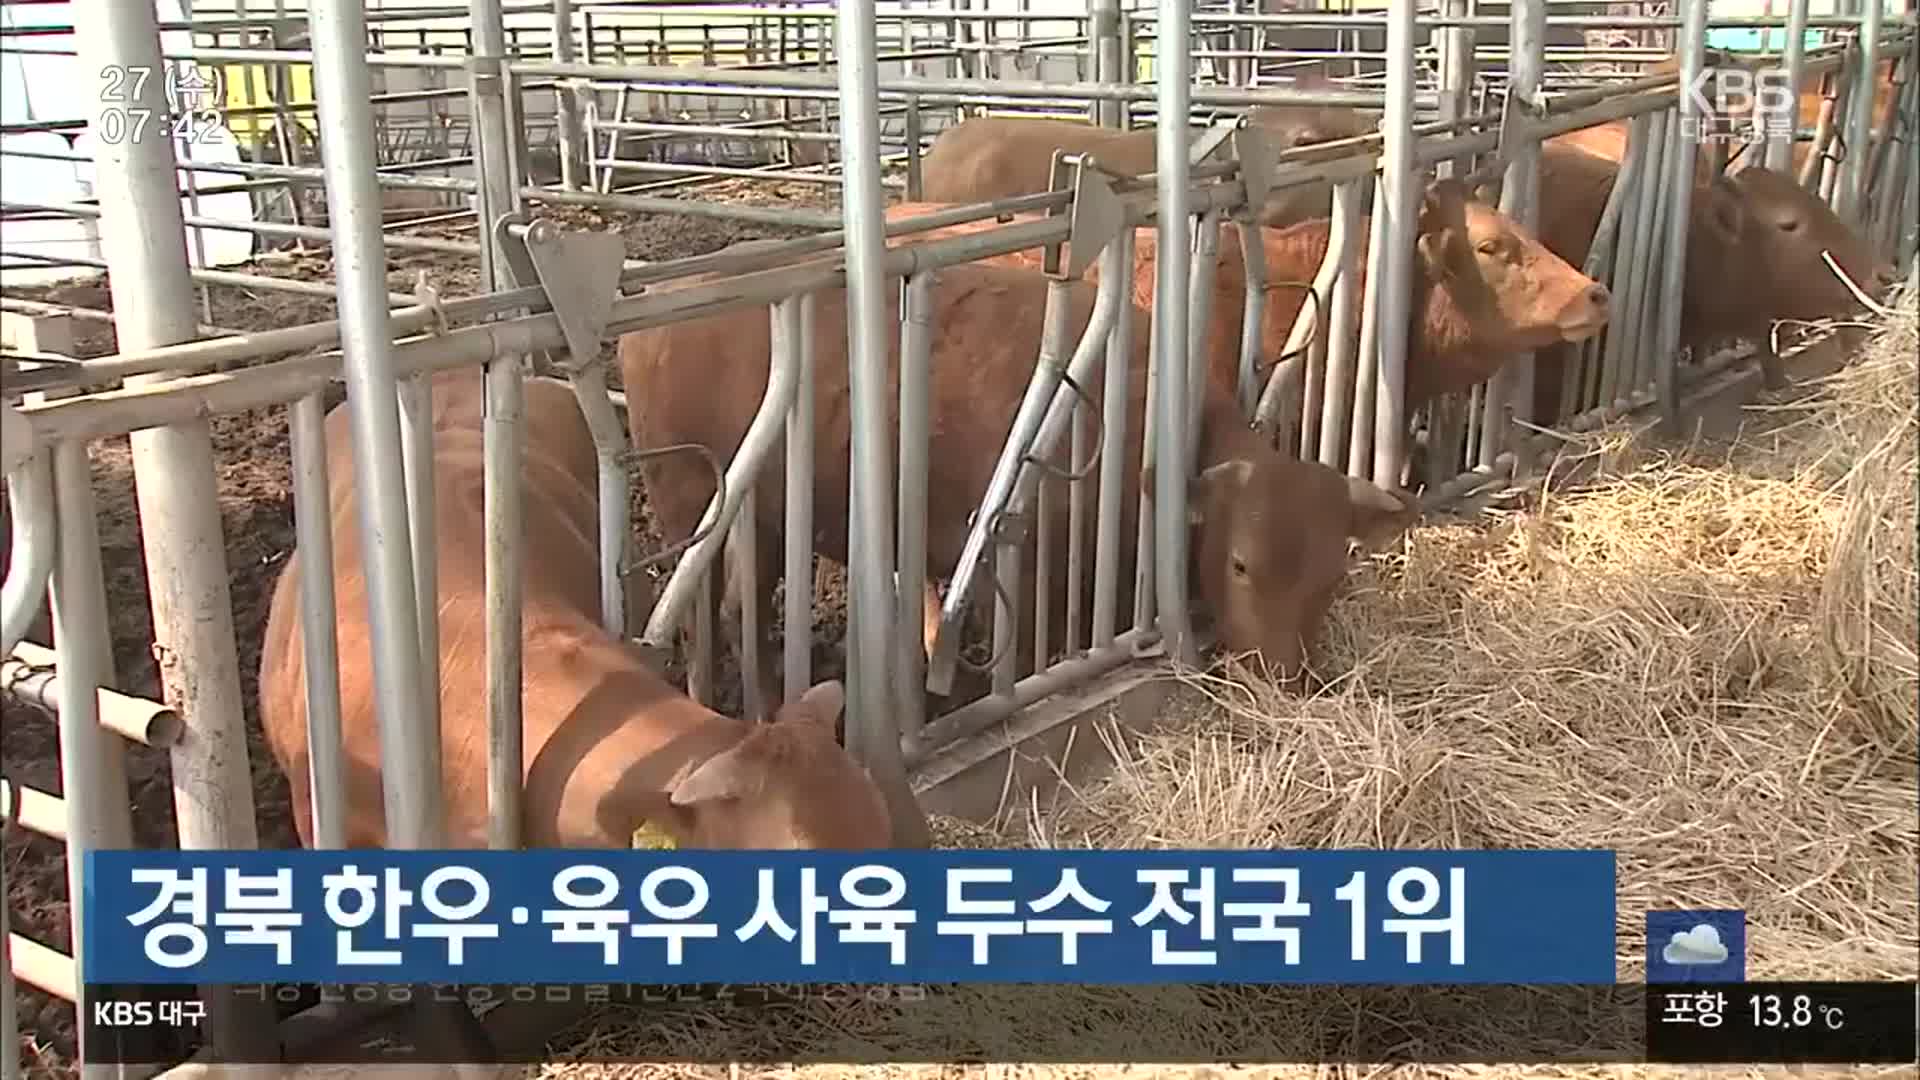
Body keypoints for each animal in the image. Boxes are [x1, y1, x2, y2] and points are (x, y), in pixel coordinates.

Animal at [622, 253, 1420, 707]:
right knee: (704, 614)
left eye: (1332, 576)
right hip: (686, 505)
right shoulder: (1034, 562)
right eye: (1241, 564)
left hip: (762, 517)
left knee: (745, 608)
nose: (1287, 684)